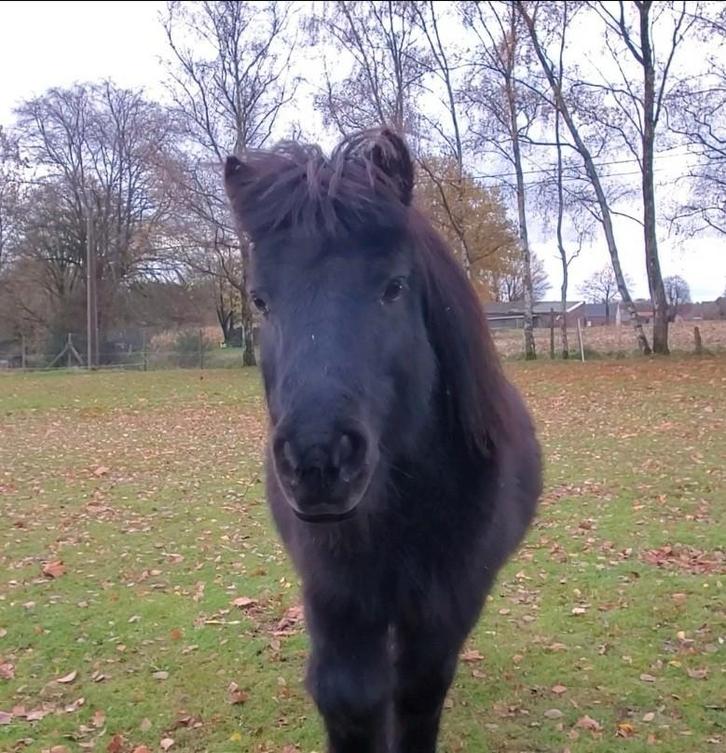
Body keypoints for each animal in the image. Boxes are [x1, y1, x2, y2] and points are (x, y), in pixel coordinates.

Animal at [224, 128, 542, 753]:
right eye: (260, 300)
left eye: (394, 288)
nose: (318, 462)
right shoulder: (337, 599)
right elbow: (352, 699)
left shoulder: (448, 602)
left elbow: (417, 693)